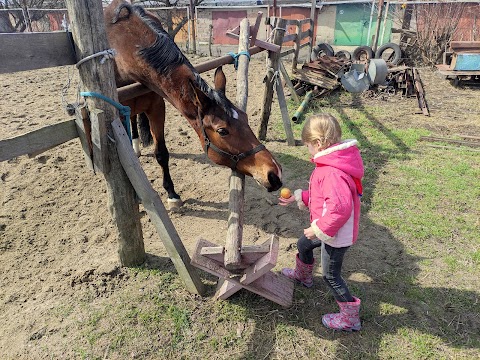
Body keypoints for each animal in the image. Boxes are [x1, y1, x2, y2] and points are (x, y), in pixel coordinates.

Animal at [102, 0, 282, 208]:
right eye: (222, 131)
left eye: (245, 117)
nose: (274, 173)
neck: (124, 46)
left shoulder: (157, 106)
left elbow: (161, 153)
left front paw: (172, 194)